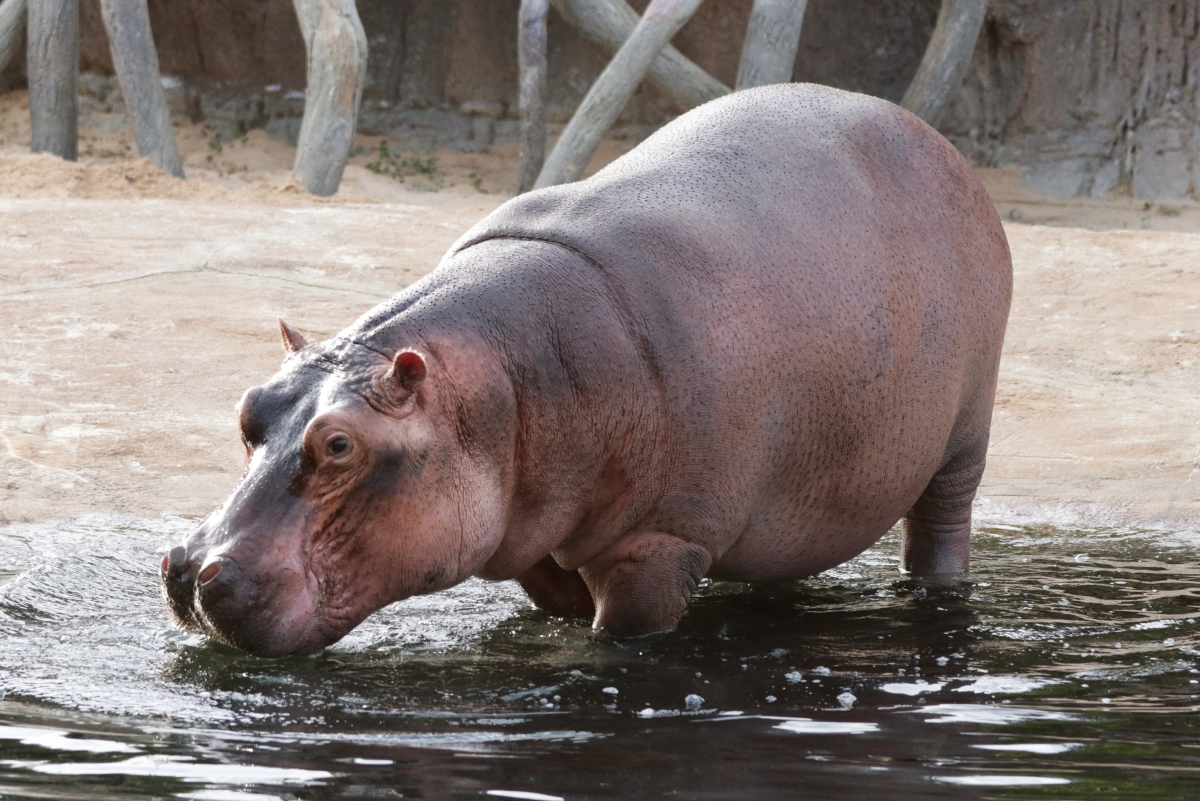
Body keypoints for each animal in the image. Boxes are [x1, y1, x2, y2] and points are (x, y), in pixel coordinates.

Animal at [162, 83, 1011, 657]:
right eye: (248, 407)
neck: (498, 383)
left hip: (963, 439)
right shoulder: (535, 539)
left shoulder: (658, 545)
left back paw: (935, 591)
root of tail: (932, 138)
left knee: (942, 521)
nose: (192, 568)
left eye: (340, 445)